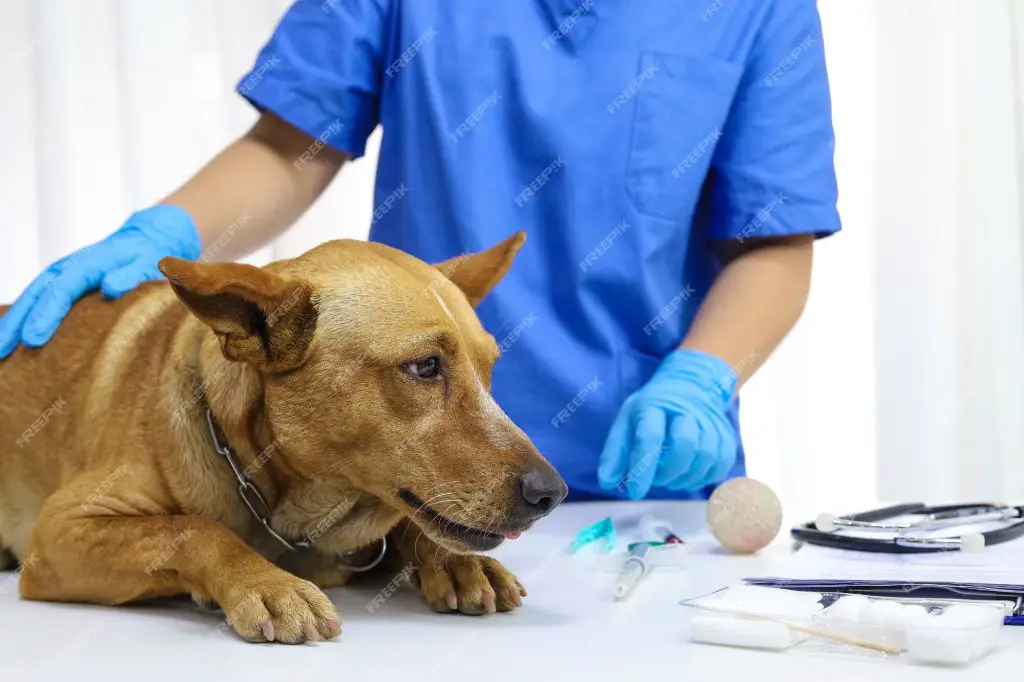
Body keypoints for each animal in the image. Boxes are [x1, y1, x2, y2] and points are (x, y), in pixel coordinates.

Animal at [0, 233, 569, 643]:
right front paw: (266, 584)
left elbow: (412, 527)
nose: (552, 494)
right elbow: (193, 529)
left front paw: (454, 562)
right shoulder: (59, 533)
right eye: (424, 367)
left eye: (490, 370)